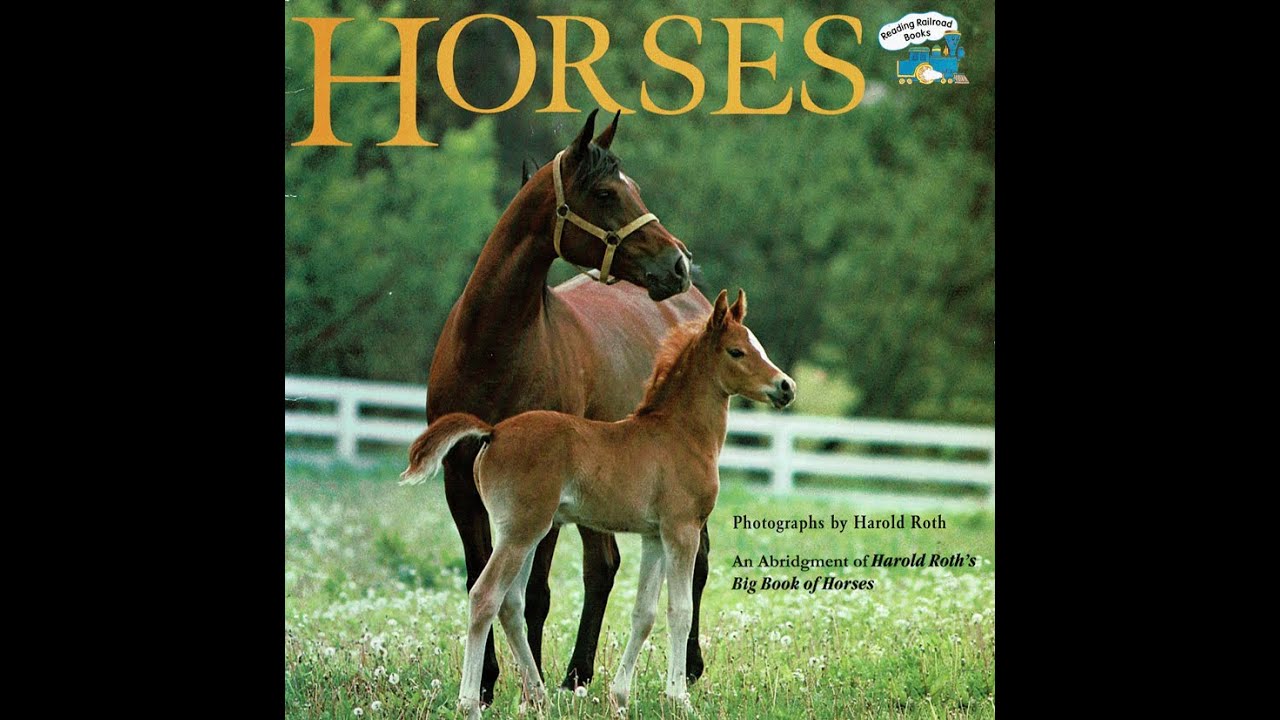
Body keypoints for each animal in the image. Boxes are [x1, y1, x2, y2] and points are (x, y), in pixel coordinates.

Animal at [403, 289, 796, 717]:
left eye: (758, 346)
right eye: (737, 351)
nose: (786, 387)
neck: (678, 432)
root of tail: (493, 432)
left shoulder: (654, 536)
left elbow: (644, 613)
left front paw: (620, 697)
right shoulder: (682, 529)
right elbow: (679, 611)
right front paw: (679, 699)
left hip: (524, 532)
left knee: (511, 605)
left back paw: (537, 696)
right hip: (523, 531)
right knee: (485, 597)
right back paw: (472, 703)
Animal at [424, 109, 713, 704]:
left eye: (634, 186)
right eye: (605, 192)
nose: (679, 264)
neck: (492, 348)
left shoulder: (544, 499)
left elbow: (534, 591)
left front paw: (522, 682)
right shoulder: (460, 483)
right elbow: (479, 577)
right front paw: (487, 683)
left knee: (693, 563)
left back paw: (689, 667)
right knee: (603, 565)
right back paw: (578, 673)